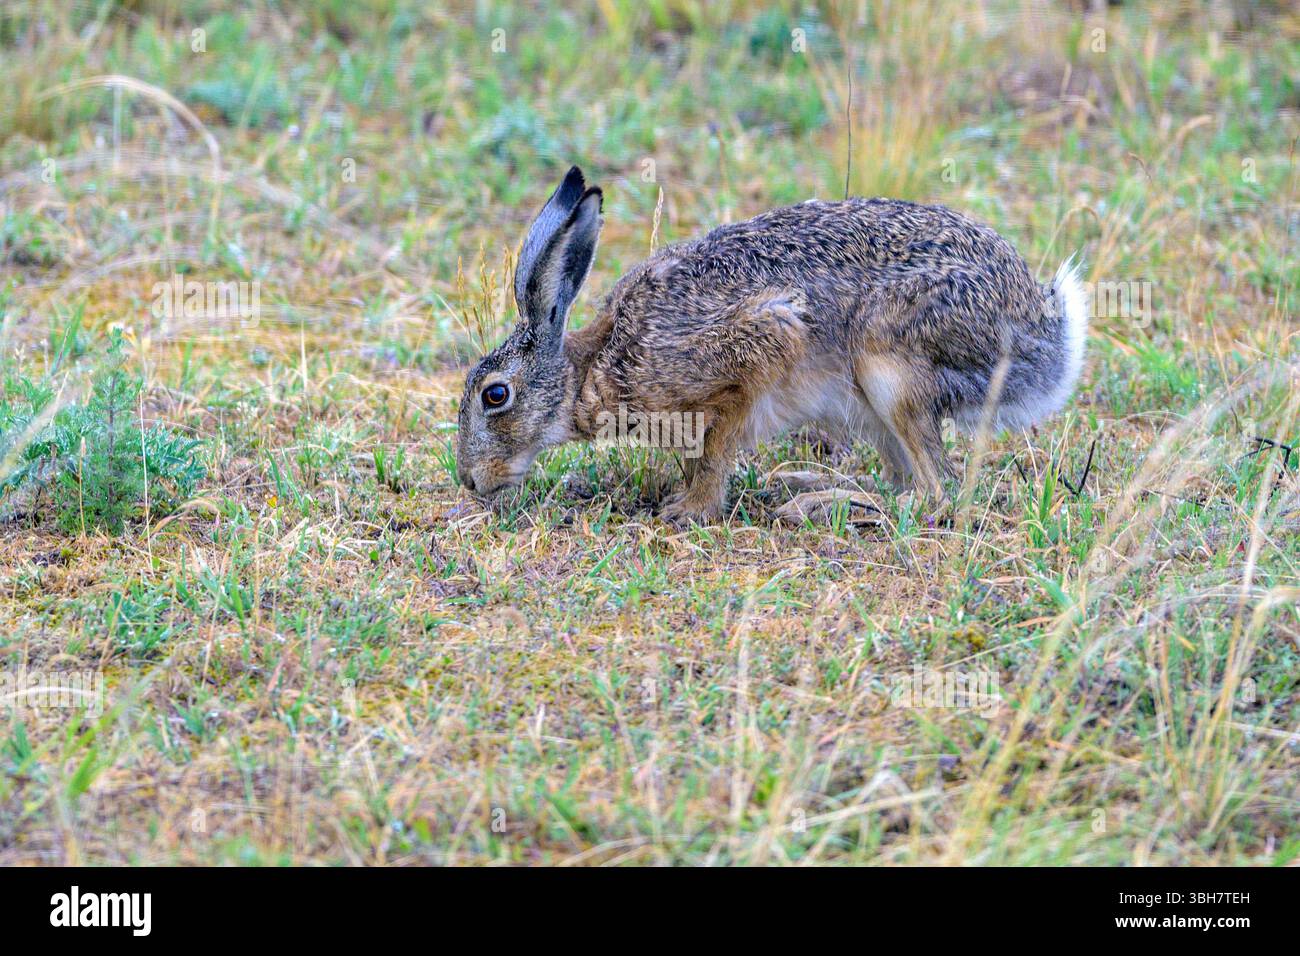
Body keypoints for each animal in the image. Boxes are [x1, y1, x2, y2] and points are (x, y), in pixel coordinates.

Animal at [456, 166, 1087, 525]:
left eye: (495, 395)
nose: (469, 481)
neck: (592, 369)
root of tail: (1042, 330)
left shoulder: (759, 347)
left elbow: (716, 450)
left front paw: (688, 510)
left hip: (889, 367)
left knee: (939, 493)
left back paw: (819, 506)